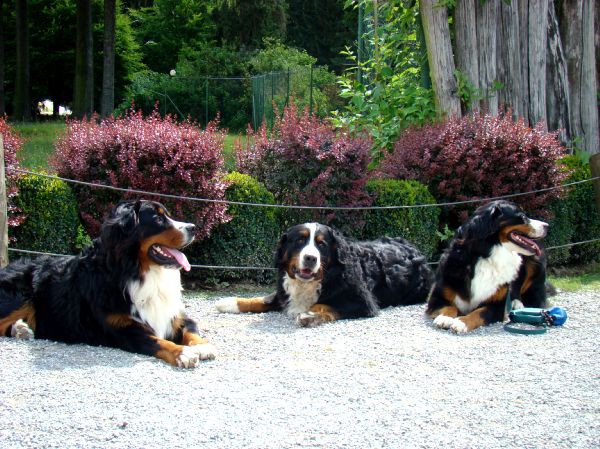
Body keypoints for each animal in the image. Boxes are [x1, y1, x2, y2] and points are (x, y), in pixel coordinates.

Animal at [0, 200, 216, 368]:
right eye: (158, 218)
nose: (193, 227)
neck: (135, 272)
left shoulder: (176, 316)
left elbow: (191, 330)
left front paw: (202, 346)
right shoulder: (124, 329)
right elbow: (159, 342)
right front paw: (183, 353)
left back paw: (21, 329)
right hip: (19, 297)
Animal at [216, 223, 432, 326]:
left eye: (321, 244)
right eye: (299, 241)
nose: (311, 258)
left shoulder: (363, 302)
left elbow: (324, 304)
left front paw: (309, 314)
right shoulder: (284, 292)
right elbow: (261, 299)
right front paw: (230, 302)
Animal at [426, 200, 548, 332]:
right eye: (523, 217)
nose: (547, 226)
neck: (486, 256)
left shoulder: (497, 306)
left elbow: (478, 313)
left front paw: (461, 322)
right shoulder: (437, 297)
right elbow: (449, 307)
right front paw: (445, 318)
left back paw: (517, 303)